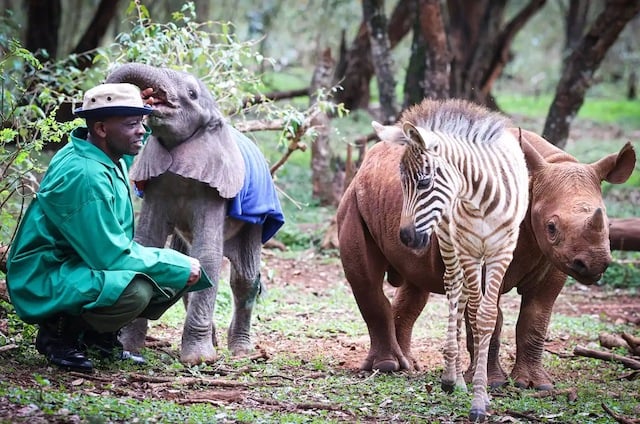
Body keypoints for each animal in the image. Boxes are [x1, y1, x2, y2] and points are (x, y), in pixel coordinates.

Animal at [105, 63, 284, 365]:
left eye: (191, 93)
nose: (145, 96)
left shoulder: (213, 188)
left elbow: (207, 255)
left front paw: (199, 360)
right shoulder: (156, 183)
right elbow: (148, 244)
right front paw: (129, 348)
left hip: (256, 223)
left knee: (245, 279)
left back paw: (240, 350)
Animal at [372, 98, 529, 422]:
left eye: (424, 182)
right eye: (402, 183)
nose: (406, 238)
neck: (480, 199)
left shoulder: (502, 251)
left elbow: (485, 316)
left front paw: (482, 397)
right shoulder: (467, 248)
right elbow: (472, 312)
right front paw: (473, 392)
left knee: (465, 296)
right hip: (448, 239)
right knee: (455, 291)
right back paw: (451, 378)